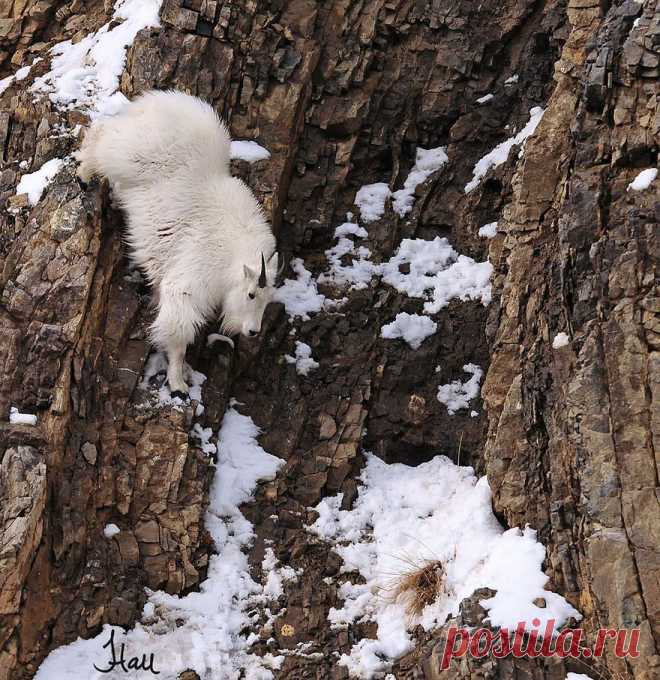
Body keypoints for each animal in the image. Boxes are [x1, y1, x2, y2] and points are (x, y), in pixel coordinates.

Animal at [76, 91, 278, 398]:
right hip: (132, 153)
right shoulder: (187, 284)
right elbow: (179, 334)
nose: (253, 331)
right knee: (102, 134)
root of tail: (156, 101)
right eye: (251, 294)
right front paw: (177, 383)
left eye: (268, 299)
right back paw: (83, 174)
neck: (231, 256)